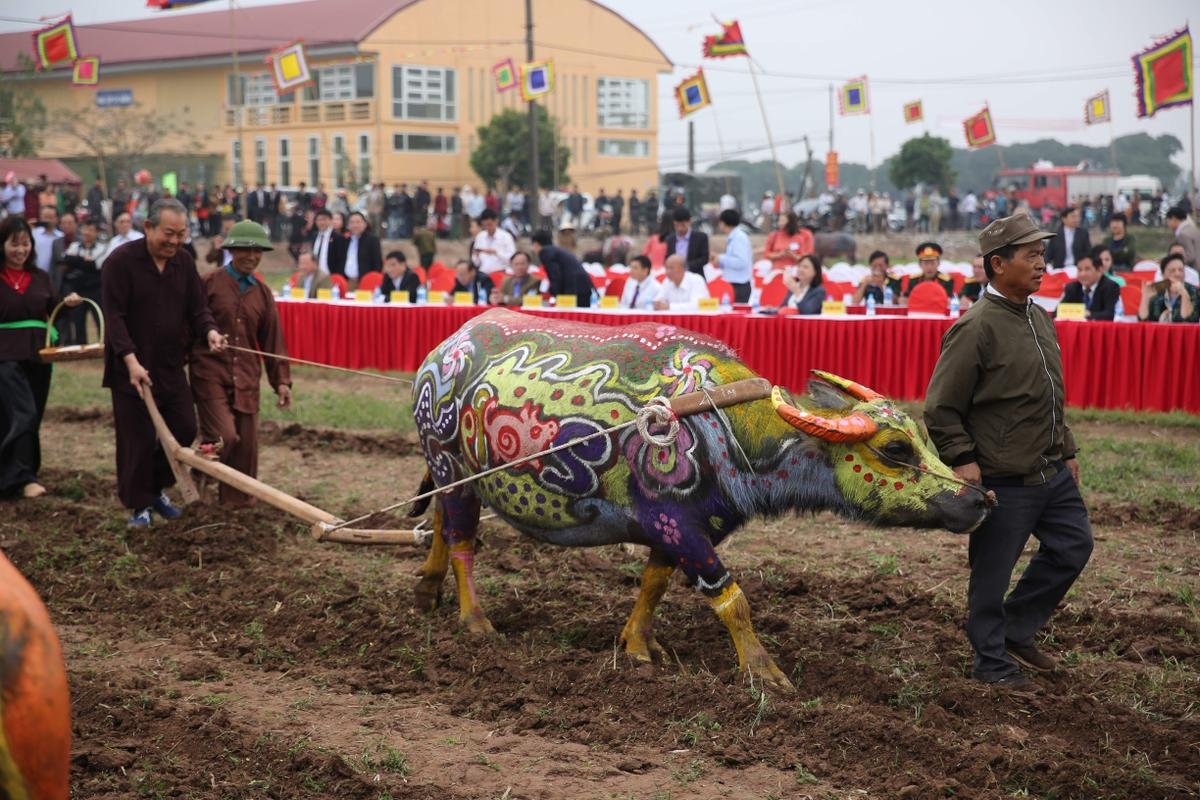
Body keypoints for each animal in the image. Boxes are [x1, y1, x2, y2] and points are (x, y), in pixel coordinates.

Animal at [408, 309, 988, 690]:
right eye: (894, 449)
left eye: (920, 434)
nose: (978, 500)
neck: (721, 425)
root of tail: (443, 350)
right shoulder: (679, 526)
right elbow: (732, 598)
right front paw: (765, 673)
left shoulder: (680, 530)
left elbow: (654, 585)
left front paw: (637, 647)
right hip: (455, 474)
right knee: (461, 539)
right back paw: (475, 622)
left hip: (445, 474)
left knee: (437, 522)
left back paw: (426, 592)